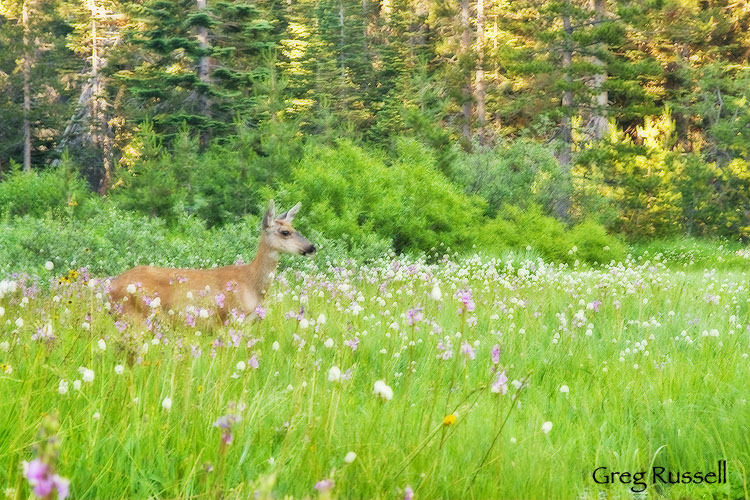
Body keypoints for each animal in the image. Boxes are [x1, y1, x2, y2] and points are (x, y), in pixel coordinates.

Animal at [108, 200, 314, 322]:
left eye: (294, 227)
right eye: (285, 232)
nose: (312, 247)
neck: (252, 284)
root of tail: (111, 286)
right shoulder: (230, 318)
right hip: (132, 315)